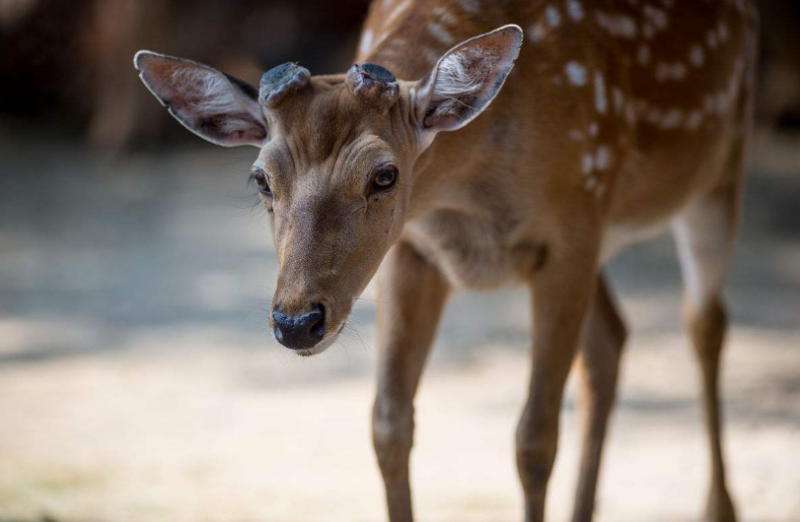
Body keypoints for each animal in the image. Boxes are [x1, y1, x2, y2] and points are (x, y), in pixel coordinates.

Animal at [134, 1, 760, 520]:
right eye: (261, 179)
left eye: (385, 175)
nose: (296, 322)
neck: (466, 191)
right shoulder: (413, 250)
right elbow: (388, 426)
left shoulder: (572, 230)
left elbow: (534, 439)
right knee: (612, 340)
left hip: (716, 171)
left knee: (704, 322)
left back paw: (721, 506)